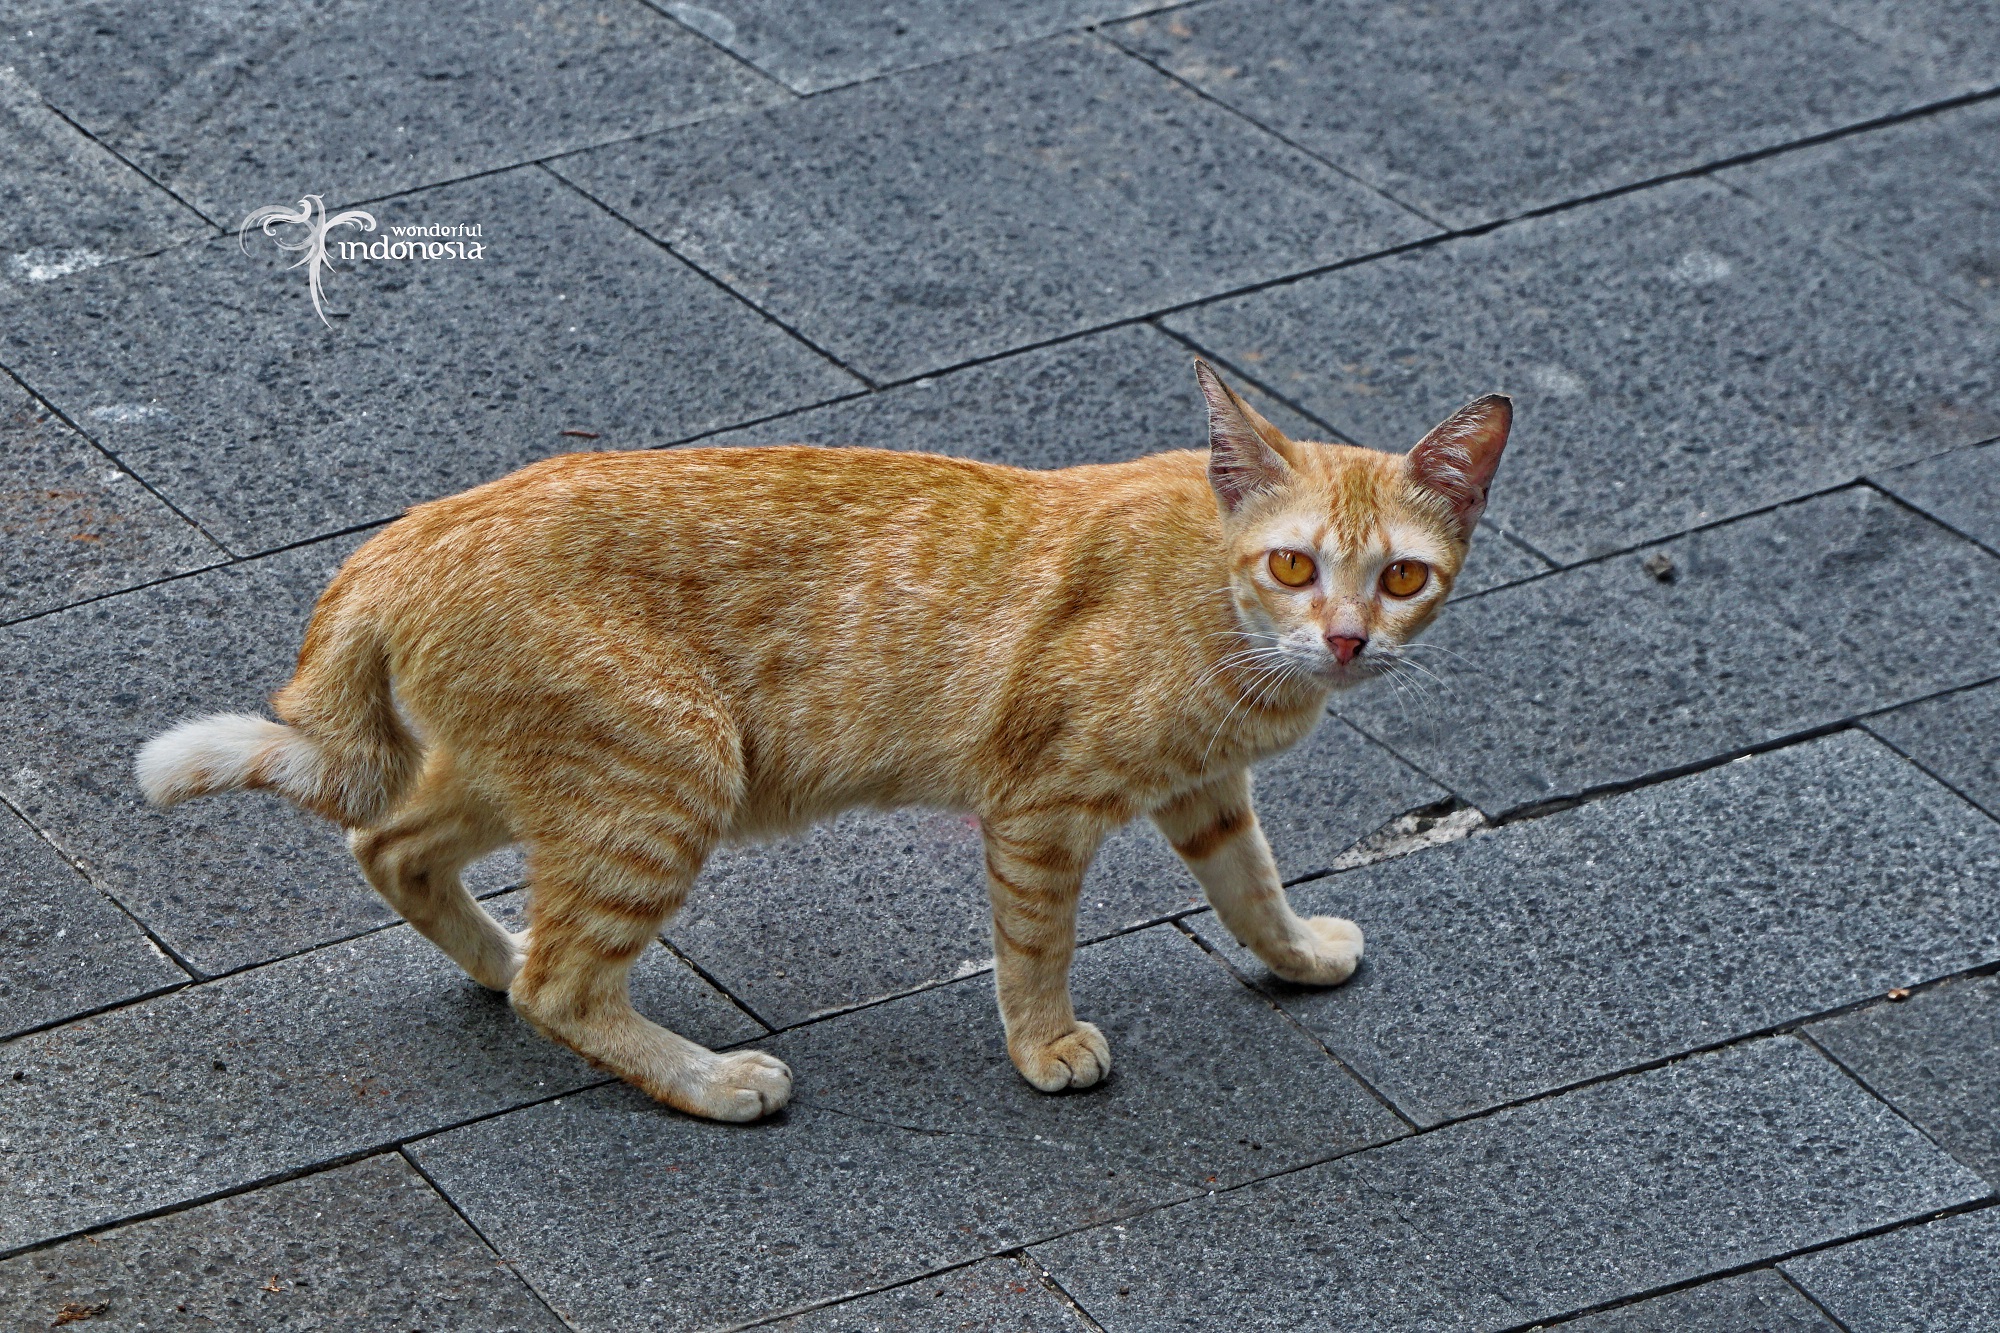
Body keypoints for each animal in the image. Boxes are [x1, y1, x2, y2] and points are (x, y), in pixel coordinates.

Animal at [133, 364, 1504, 1120]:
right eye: (1293, 565)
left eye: (1398, 576)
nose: (1342, 639)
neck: (1218, 605)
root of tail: (400, 537)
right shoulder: (1039, 807)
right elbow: (1036, 947)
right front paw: (1042, 1045)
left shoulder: (1205, 785)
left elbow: (1250, 884)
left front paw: (1296, 954)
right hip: (668, 776)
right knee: (559, 983)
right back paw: (707, 1079)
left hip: (544, 780)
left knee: (398, 852)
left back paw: (492, 952)